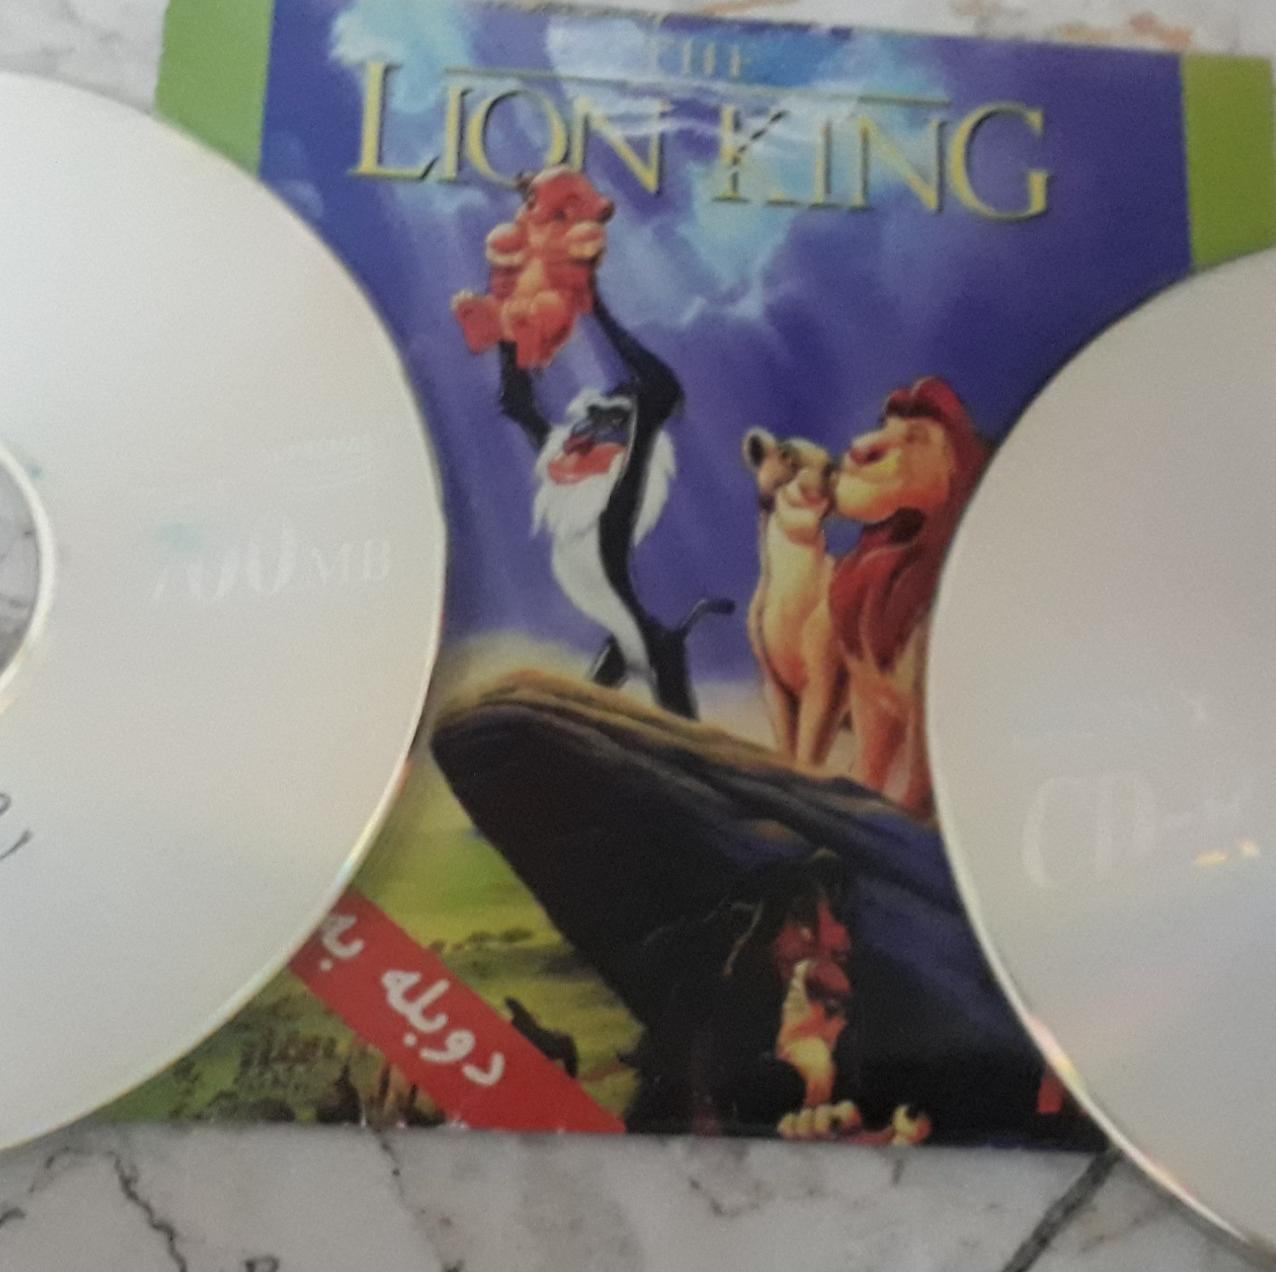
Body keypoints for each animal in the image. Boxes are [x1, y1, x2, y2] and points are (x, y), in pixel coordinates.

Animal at [828, 377, 989, 818]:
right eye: (885, 422)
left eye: (915, 435)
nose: (859, 452)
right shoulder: (870, 696)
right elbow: (869, 767)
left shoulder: (923, 714)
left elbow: (917, 786)